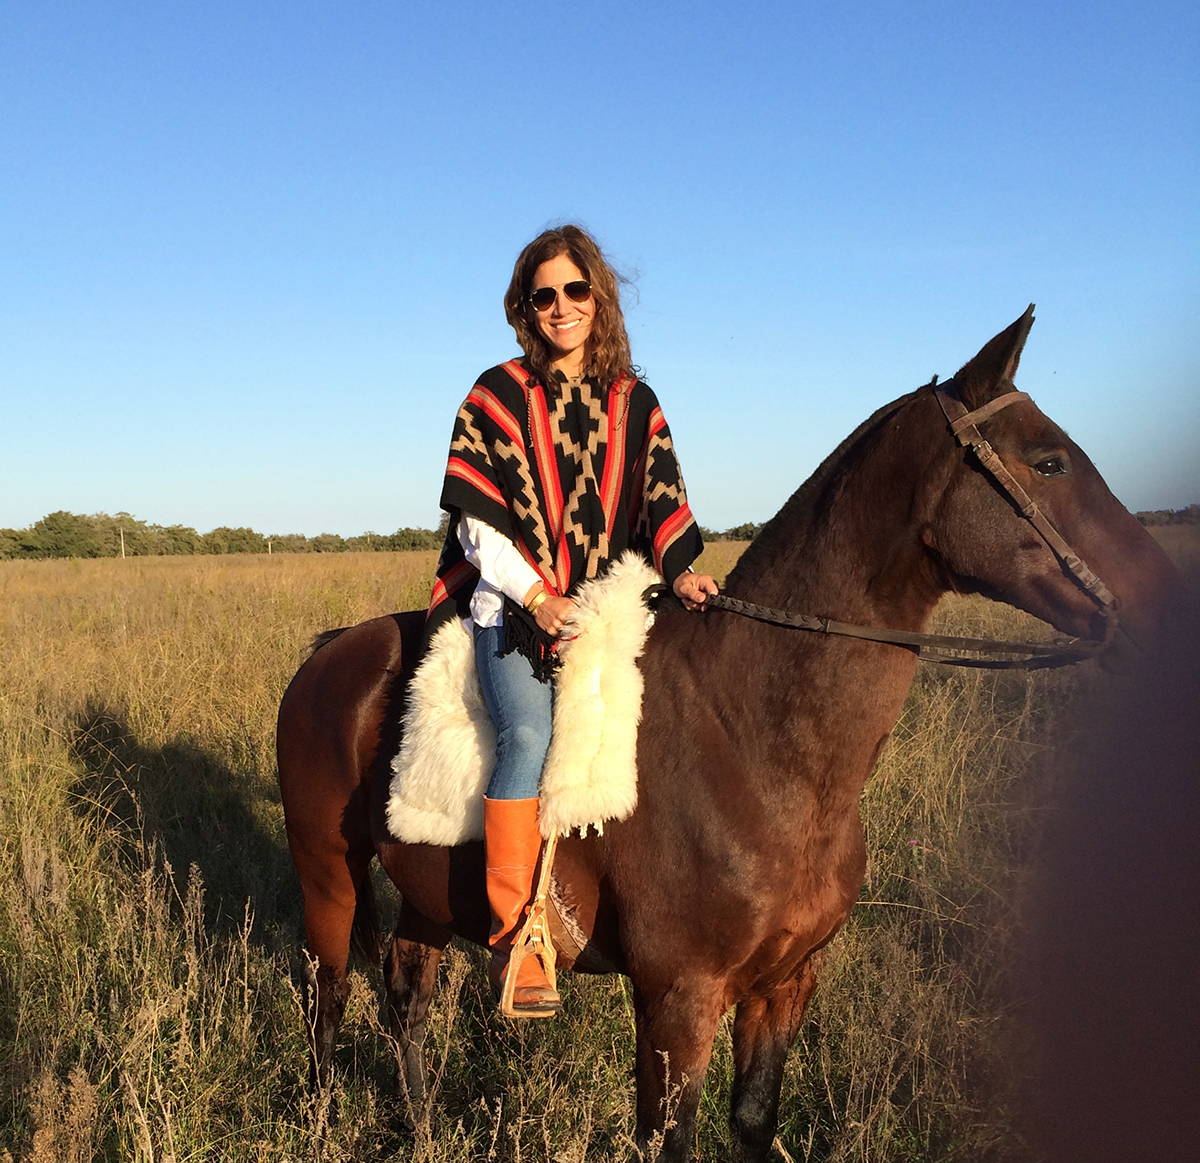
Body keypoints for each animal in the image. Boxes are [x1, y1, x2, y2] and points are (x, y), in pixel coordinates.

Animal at [276, 312, 1176, 1161]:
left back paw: (422, 1129)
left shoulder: (785, 983)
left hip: (427, 890)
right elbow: (670, 1138)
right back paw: (320, 1121)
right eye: (1050, 461)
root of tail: (330, 652)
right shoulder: (679, 998)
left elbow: (750, 1121)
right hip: (329, 873)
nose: (1166, 596)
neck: (757, 742)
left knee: (405, 997)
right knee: (329, 999)